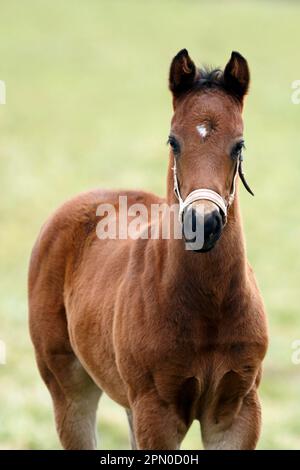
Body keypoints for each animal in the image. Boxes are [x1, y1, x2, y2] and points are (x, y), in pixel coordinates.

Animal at [28, 49, 268, 450]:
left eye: (239, 145)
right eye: (173, 141)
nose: (203, 224)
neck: (209, 307)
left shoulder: (237, 411)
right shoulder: (157, 412)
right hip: (69, 387)